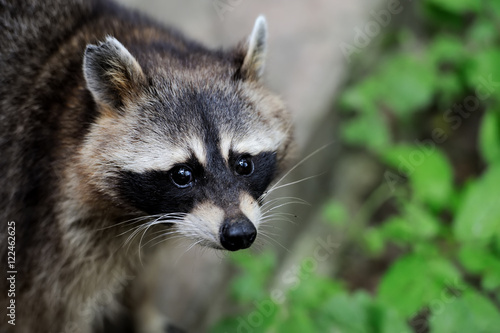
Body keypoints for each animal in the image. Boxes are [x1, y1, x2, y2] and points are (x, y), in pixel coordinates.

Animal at [0, 0, 292, 330]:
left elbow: (143, 271)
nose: (240, 233)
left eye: (243, 165)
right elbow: (44, 313)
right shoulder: (48, 230)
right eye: (182, 174)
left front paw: (144, 311)